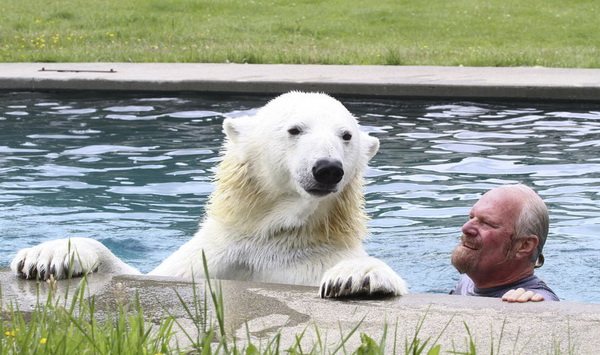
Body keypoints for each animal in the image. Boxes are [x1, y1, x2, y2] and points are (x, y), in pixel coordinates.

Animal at [11, 92, 408, 298]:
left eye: (347, 135)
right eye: (295, 129)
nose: (327, 168)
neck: (273, 233)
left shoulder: (308, 263)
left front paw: (357, 277)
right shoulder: (213, 259)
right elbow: (144, 274)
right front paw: (47, 256)